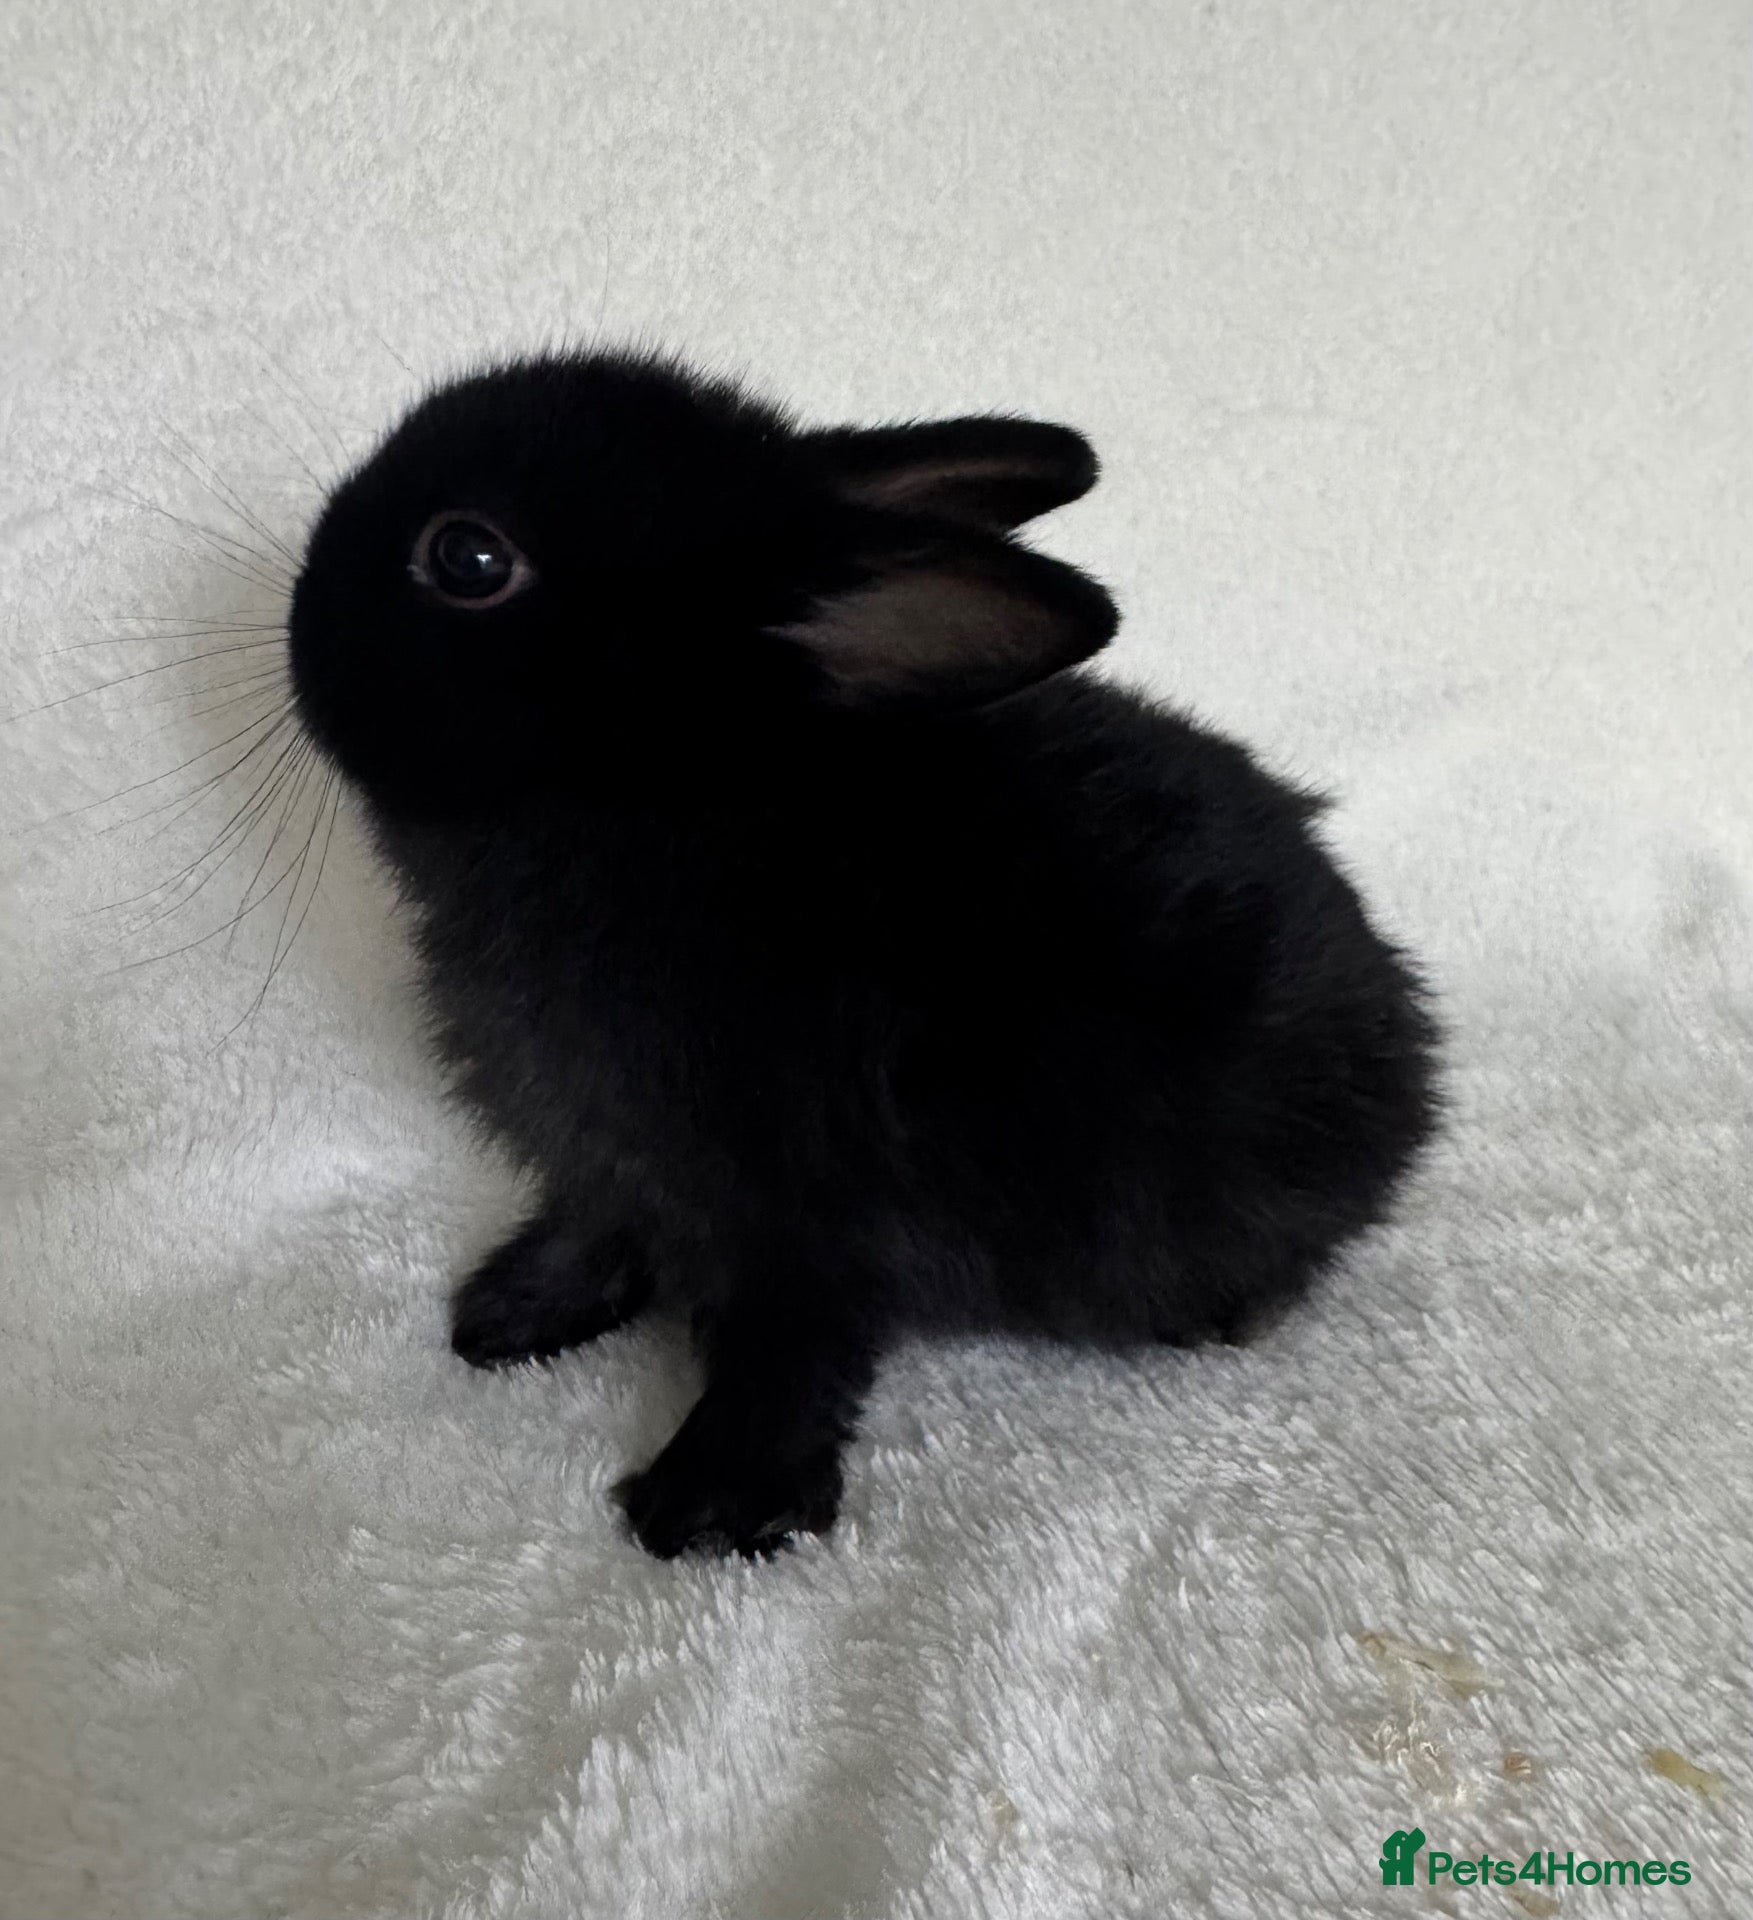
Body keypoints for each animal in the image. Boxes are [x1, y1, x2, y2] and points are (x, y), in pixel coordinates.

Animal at [287, 349, 1439, 1558]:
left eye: (467, 558)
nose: (300, 593)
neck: (659, 801)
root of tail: (1413, 1048)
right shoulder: (611, 1165)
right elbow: (597, 1236)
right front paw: (506, 1316)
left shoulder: (809, 1222)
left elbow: (792, 1353)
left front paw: (706, 1509)